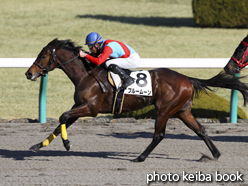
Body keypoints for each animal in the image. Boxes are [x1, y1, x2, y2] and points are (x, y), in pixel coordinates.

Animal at [25, 38, 248, 162]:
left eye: (43, 55)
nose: (29, 73)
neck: (86, 74)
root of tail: (187, 78)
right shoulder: (79, 106)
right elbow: (61, 122)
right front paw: (37, 146)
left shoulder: (90, 108)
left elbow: (62, 117)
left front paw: (67, 144)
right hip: (182, 111)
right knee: (200, 130)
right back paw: (215, 154)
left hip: (164, 109)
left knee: (159, 135)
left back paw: (140, 157)